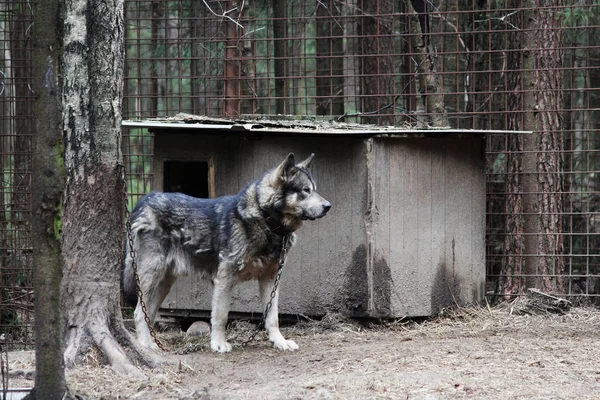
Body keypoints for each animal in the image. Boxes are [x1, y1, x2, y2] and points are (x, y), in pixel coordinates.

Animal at [121, 153, 328, 354]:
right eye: (305, 190)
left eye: (315, 189)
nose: (328, 206)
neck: (266, 221)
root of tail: (144, 201)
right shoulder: (224, 279)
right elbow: (221, 316)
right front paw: (218, 344)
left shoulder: (271, 279)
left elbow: (272, 317)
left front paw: (280, 342)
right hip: (151, 277)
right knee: (139, 312)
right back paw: (145, 346)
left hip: (164, 284)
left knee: (149, 313)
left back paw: (152, 346)